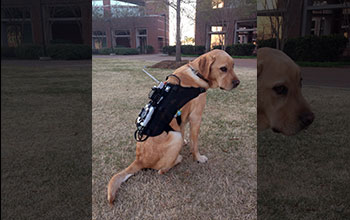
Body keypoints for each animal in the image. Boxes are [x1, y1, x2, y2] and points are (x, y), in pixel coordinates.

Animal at [108, 49, 239, 205]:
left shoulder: (181, 120)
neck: (197, 73)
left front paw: (186, 143)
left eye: (233, 66)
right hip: (174, 137)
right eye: (223, 68)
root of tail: (139, 160)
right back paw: (177, 159)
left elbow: (184, 132)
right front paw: (198, 158)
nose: (238, 83)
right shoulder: (196, 118)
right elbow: (195, 144)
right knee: (161, 170)